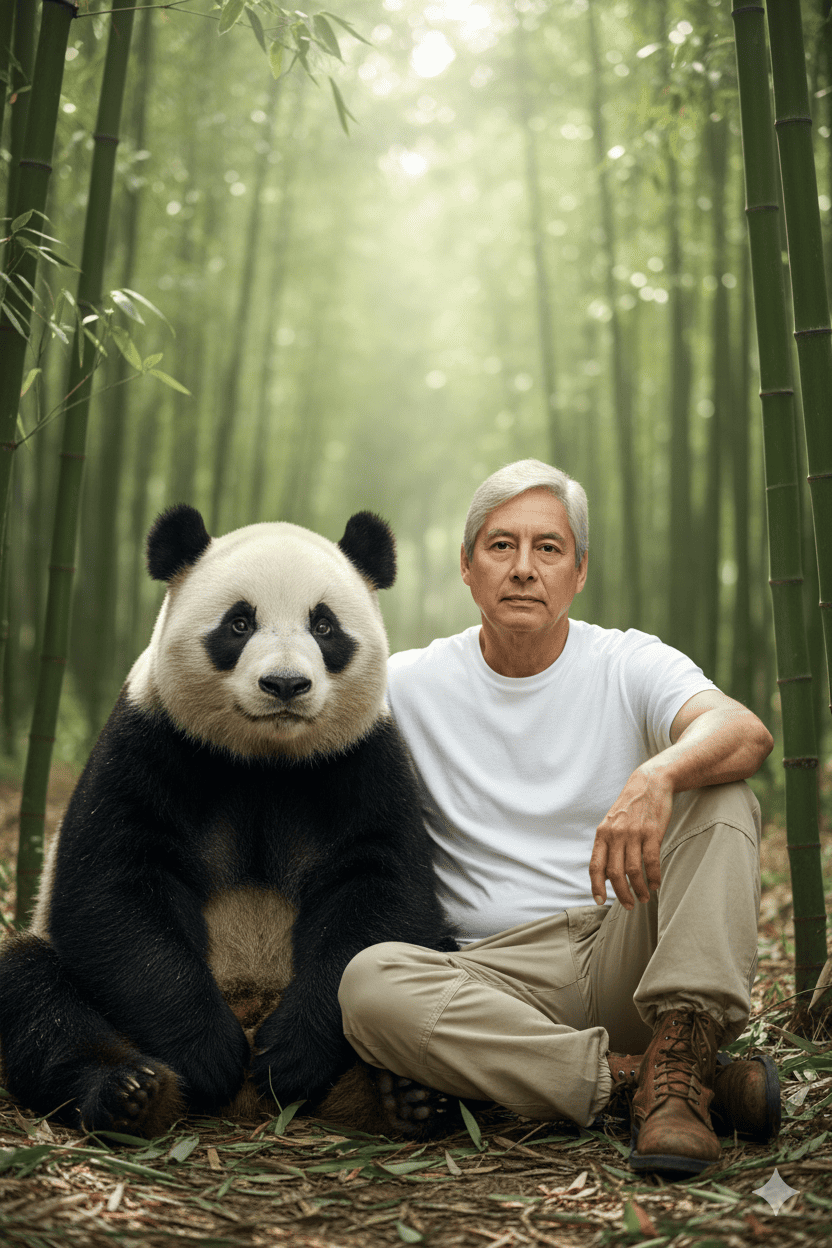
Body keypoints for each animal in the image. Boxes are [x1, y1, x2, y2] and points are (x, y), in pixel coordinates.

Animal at [0, 505, 458, 1139]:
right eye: (239, 623)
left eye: (324, 626)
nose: (286, 685)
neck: (264, 760)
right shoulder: (149, 742)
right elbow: (112, 889)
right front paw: (207, 1053)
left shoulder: (364, 760)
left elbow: (382, 893)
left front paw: (289, 1056)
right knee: (33, 990)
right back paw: (132, 1091)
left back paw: (403, 1096)